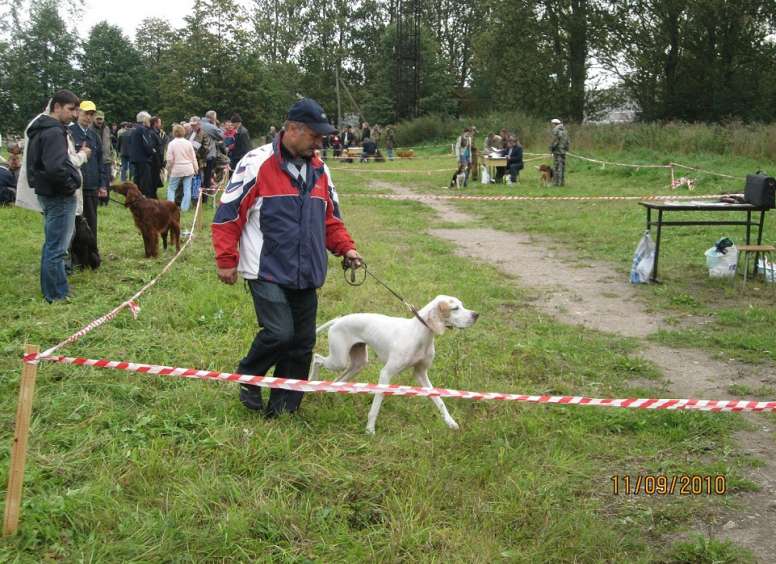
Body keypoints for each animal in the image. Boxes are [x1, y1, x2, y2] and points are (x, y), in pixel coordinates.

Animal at [310, 295, 479, 434]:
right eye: (455, 308)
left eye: (462, 305)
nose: (476, 315)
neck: (420, 334)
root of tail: (338, 320)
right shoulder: (386, 374)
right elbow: (376, 405)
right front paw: (370, 430)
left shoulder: (421, 374)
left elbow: (439, 400)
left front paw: (450, 422)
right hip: (338, 360)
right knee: (316, 358)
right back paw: (312, 381)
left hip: (358, 364)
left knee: (337, 379)